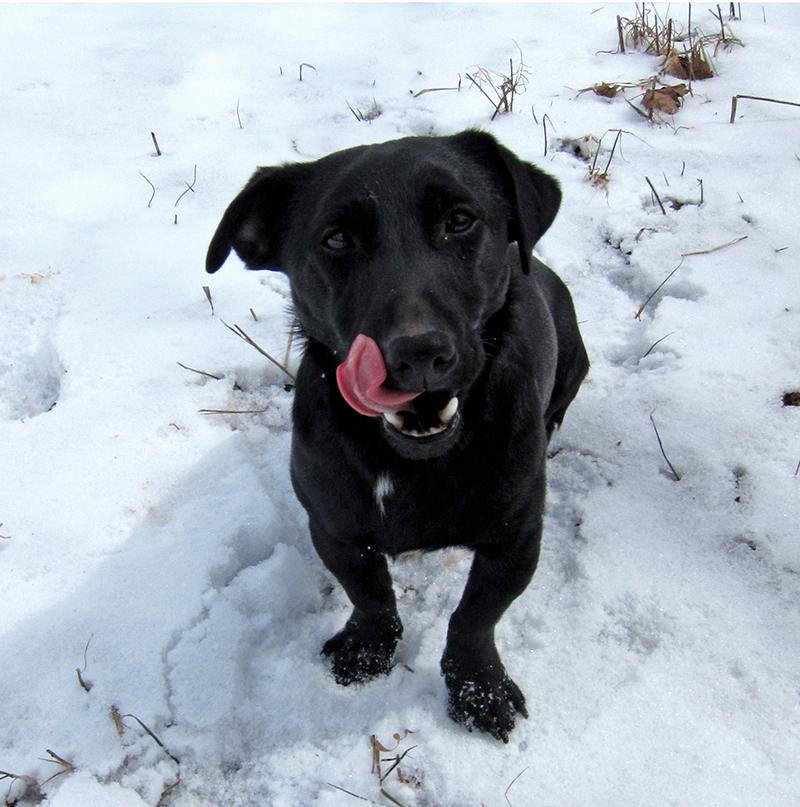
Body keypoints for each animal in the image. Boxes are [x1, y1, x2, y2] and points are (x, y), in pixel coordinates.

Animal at [206, 133, 588, 744]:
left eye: (461, 220)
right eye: (336, 238)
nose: (418, 353)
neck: (410, 461)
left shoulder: (516, 539)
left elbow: (475, 617)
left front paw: (478, 689)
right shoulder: (335, 526)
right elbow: (371, 595)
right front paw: (368, 650)